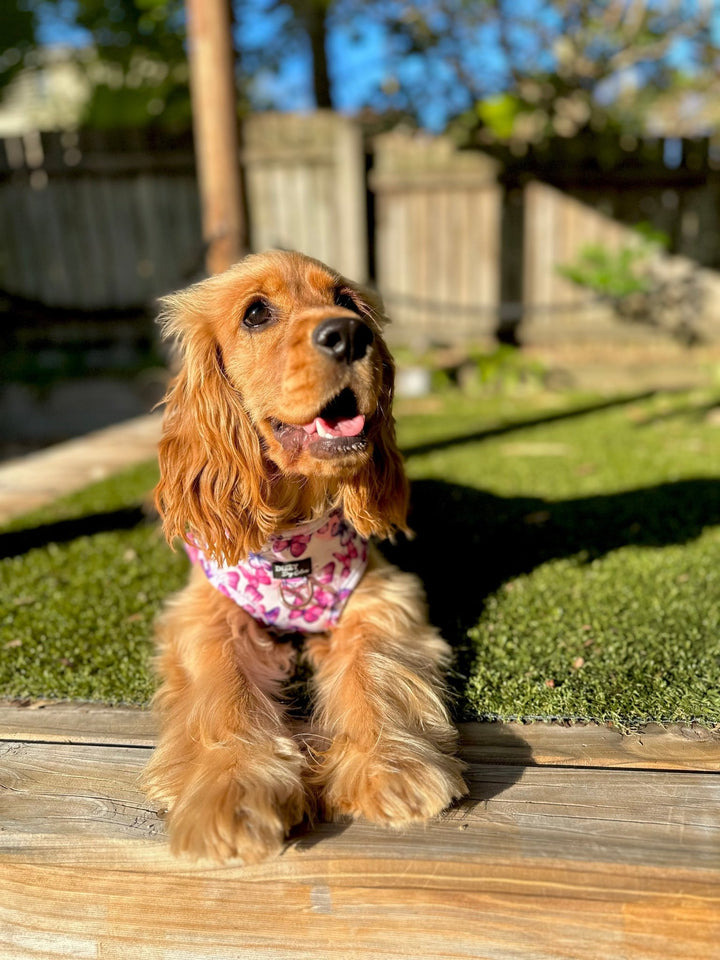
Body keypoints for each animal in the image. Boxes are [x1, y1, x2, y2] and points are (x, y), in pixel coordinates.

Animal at [142, 249, 466, 864]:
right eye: (256, 313)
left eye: (347, 300)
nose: (350, 334)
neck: (293, 533)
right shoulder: (205, 613)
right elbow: (223, 694)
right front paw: (231, 792)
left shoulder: (377, 597)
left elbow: (372, 670)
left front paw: (390, 767)